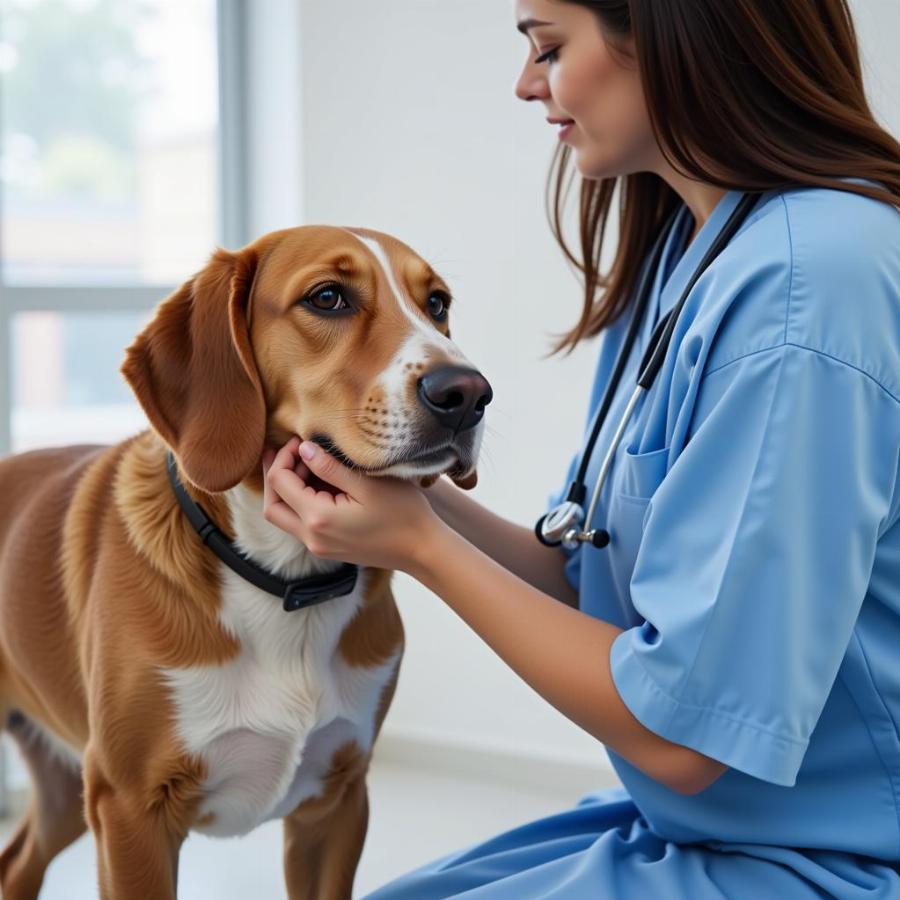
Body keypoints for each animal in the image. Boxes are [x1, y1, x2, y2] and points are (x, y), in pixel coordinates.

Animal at [0, 221, 488, 896]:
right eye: (328, 297)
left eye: (437, 304)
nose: (468, 394)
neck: (286, 582)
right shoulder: (129, 812)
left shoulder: (336, 806)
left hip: (63, 785)